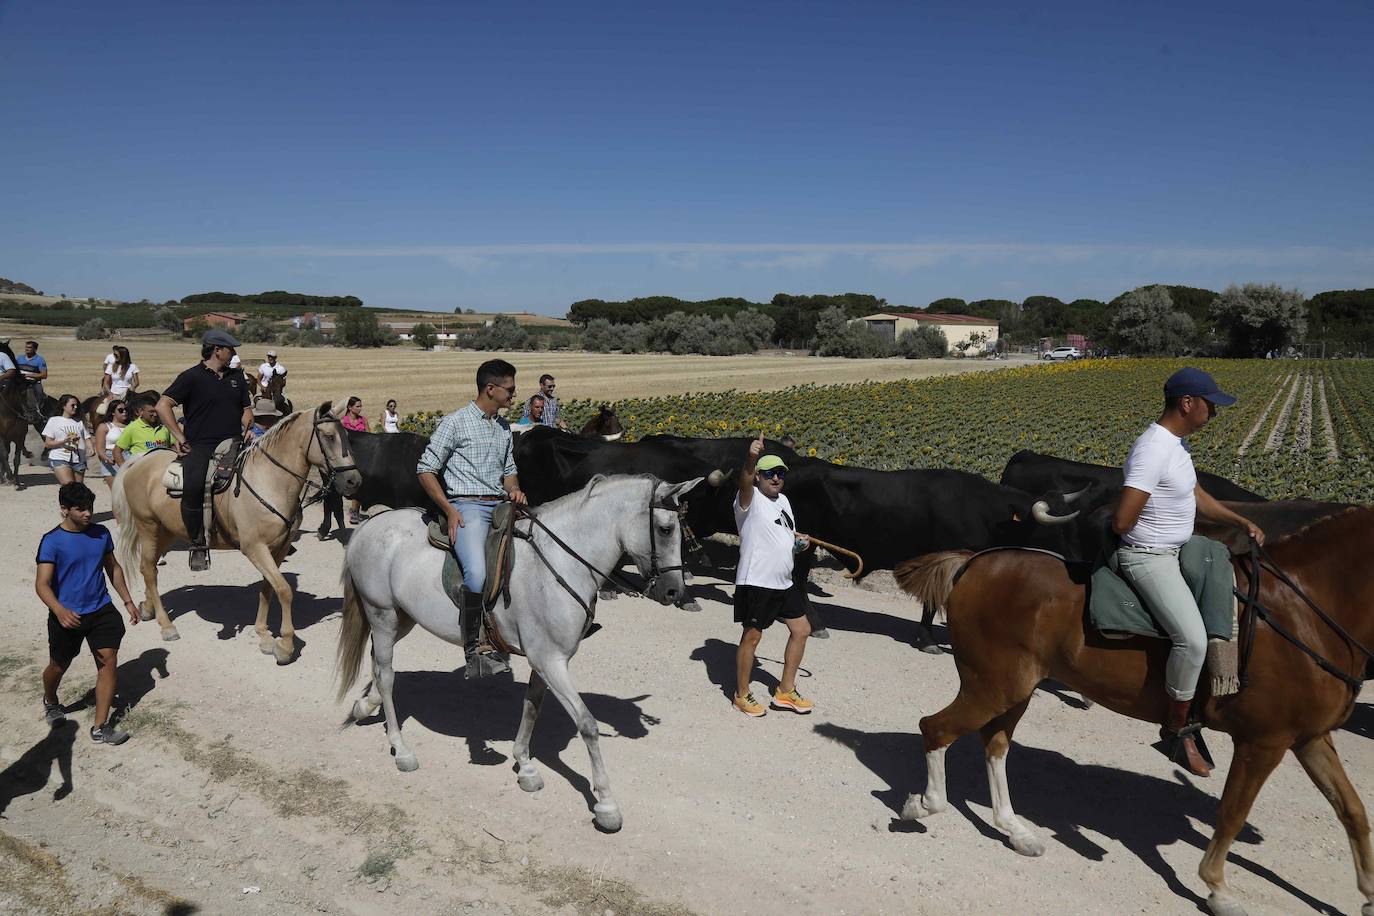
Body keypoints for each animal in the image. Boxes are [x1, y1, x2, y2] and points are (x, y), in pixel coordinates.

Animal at [114, 403, 359, 661]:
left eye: (346, 436)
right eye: (329, 437)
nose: (354, 481)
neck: (269, 480)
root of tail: (139, 461)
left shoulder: (279, 549)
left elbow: (268, 587)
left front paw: (263, 633)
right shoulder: (255, 548)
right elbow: (284, 590)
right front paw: (285, 645)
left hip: (166, 531)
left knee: (147, 566)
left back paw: (147, 607)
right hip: (148, 526)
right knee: (149, 570)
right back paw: (166, 625)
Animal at [332, 477, 697, 834]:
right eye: (666, 529)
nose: (674, 592)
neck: (560, 563)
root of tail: (371, 524)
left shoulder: (544, 660)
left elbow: (531, 708)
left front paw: (525, 765)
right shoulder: (551, 661)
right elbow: (587, 724)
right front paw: (607, 805)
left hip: (401, 619)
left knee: (378, 667)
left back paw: (364, 706)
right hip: (382, 614)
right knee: (387, 676)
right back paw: (401, 749)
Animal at [890, 508, 1374, 916]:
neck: (1302, 613)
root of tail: (974, 563)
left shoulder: (1309, 738)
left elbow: (1352, 811)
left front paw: (1368, 895)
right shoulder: (1264, 741)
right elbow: (1232, 814)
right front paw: (1218, 890)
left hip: (1014, 691)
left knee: (994, 746)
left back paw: (1014, 830)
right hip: (992, 687)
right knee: (934, 729)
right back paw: (925, 805)